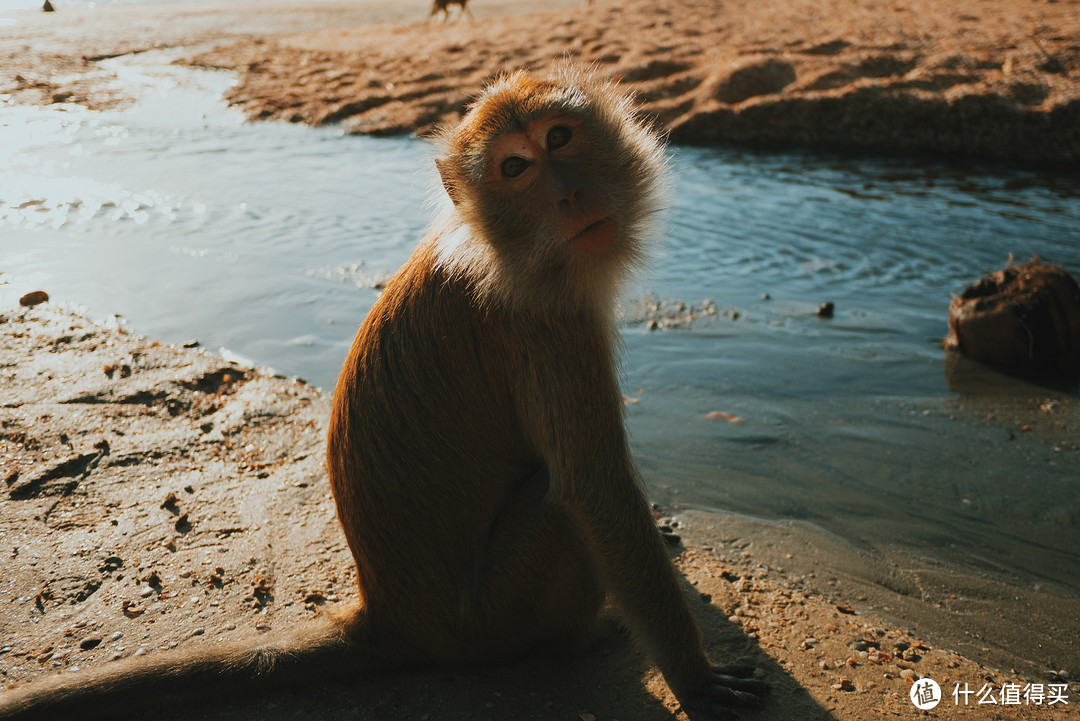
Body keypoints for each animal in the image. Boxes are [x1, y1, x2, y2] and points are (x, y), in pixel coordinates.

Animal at [0, 66, 768, 716]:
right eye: (514, 168)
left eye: (558, 137)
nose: (570, 193)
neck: (502, 243)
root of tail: (392, 618)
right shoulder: (549, 322)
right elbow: (595, 490)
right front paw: (697, 679)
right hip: (492, 618)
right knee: (557, 503)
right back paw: (584, 638)